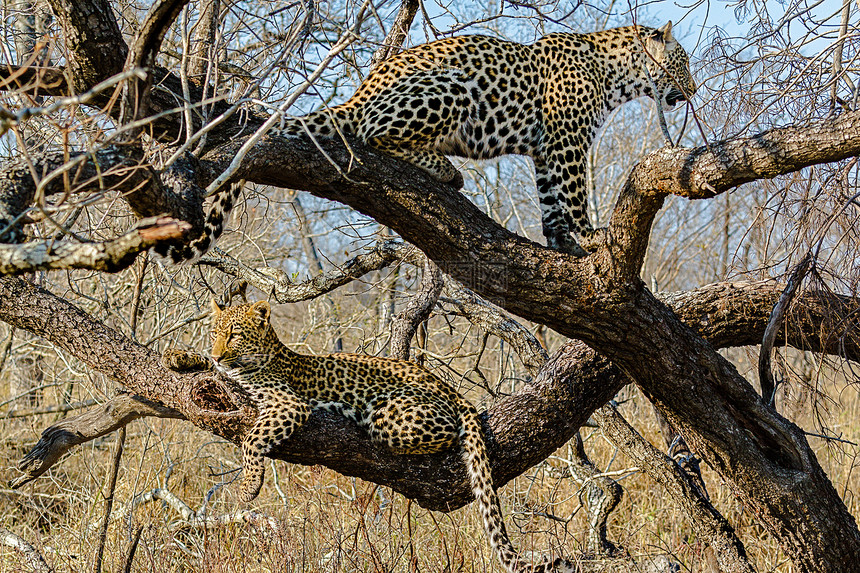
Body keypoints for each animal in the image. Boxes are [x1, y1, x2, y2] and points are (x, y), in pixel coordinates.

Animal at [165, 22, 696, 262]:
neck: (618, 74)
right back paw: (446, 169)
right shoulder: (566, 140)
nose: (692, 90)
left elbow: (551, 200)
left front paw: (562, 243)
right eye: (684, 62)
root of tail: (359, 93)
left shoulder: (546, 149)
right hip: (451, 87)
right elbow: (572, 193)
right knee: (372, 135)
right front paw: (589, 236)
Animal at [165, 302, 576, 568]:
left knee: (440, 435)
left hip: (390, 414)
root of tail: (451, 390)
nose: (220, 353)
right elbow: (210, 369)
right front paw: (179, 356)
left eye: (235, 334)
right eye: (215, 333)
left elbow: (252, 438)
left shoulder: (288, 403)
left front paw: (249, 487)